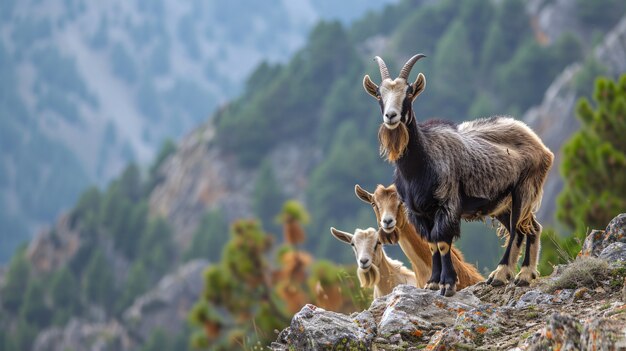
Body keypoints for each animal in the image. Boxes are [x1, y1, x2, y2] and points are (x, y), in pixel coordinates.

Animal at [360, 54, 552, 296]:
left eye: (409, 93)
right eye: (379, 94)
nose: (391, 116)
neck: (419, 166)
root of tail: (539, 144)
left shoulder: (447, 204)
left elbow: (442, 242)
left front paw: (448, 284)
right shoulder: (418, 212)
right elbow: (432, 243)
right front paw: (432, 283)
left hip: (524, 189)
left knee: (518, 229)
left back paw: (503, 275)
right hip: (502, 203)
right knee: (531, 227)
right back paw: (524, 274)